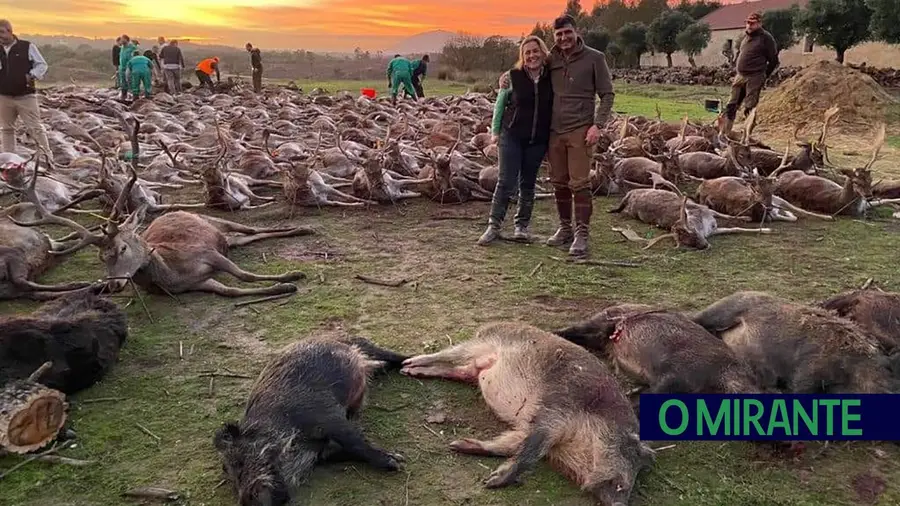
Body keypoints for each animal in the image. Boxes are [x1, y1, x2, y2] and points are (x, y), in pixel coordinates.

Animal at [608, 189, 768, 250]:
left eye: (693, 231)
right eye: (684, 242)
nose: (704, 246)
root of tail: (629, 195)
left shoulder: (708, 211)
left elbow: (731, 221)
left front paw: (749, 219)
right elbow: (733, 228)